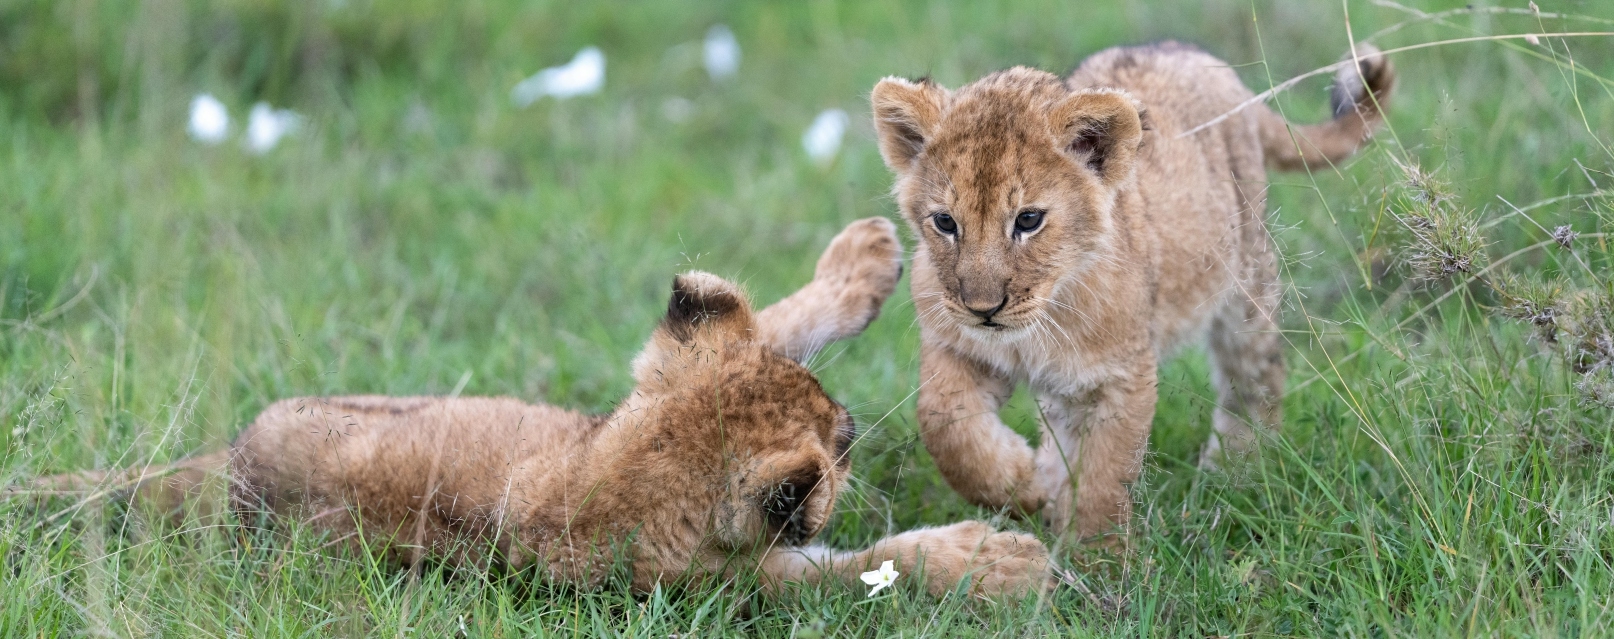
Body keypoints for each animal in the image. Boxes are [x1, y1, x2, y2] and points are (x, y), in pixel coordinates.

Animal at [16, 218, 1049, 600]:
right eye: (841, 439)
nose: (850, 431)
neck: (631, 461)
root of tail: (218, 470)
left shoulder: (640, 381)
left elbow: (775, 326)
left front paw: (862, 259)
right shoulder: (741, 585)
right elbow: (869, 567)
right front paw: (997, 562)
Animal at [869, 42, 1394, 541]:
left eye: (1028, 220)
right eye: (944, 222)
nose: (983, 309)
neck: (1040, 321)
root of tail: (1210, 65)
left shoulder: (1120, 379)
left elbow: (1103, 483)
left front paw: (1094, 560)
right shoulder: (954, 344)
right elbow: (944, 425)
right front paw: (1025, 486)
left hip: (1247, 283)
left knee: (1256, 378)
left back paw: (1234, 471)